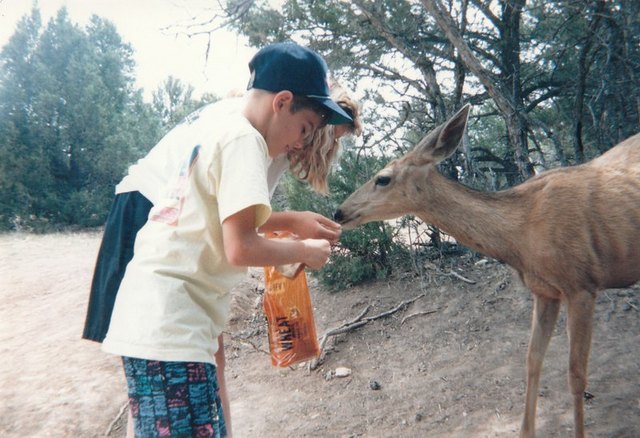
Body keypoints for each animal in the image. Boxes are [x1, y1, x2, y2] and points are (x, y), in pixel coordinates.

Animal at [333, 104, 640, 438]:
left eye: (383, 178)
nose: (339, 211)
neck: (521, 236)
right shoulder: (545, 291)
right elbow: (532, 360)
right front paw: (525, 431)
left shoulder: (581, 285)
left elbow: (576, 375)